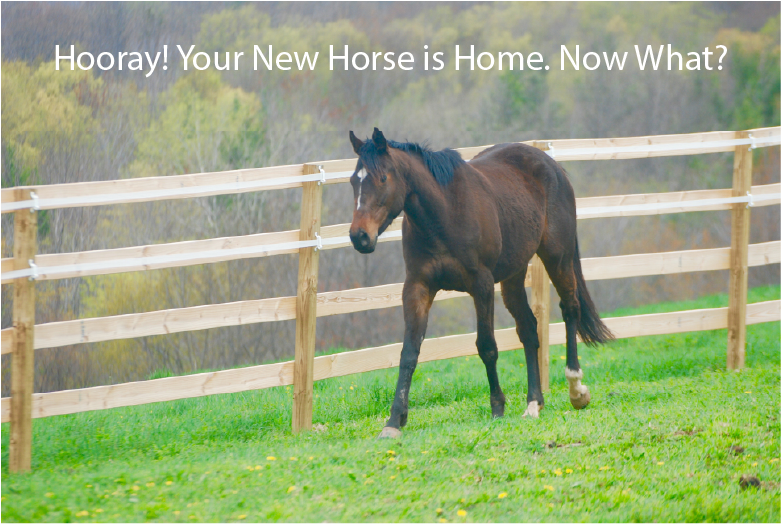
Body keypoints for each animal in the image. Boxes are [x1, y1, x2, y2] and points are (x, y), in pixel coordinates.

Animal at [347, 128, 614, 439]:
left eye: (382, 178)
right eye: (354, 180)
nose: (359, 236)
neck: (445, 213)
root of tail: (552, 165)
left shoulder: (481, 285)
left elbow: (487, 346)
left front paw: (497, 407)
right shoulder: (417, 288)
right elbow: (409, 352)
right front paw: (394, 421)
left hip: (557, 258)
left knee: (570, 309)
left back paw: (576, 390)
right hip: (513, 276)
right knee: (529, 329)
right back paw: (533, 403)